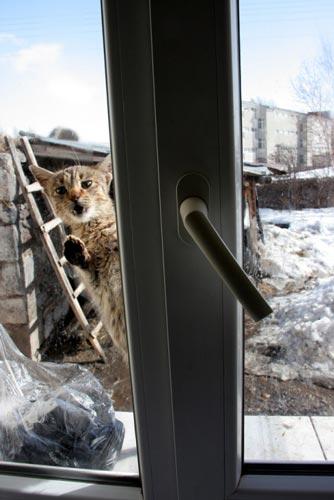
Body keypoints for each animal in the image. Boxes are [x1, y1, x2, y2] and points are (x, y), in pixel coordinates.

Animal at [30, 156, 128, 364]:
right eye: (61, 190)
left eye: (87, 184)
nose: (74, 196)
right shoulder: (97, 284)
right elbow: (87, 268)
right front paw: (76, 251)